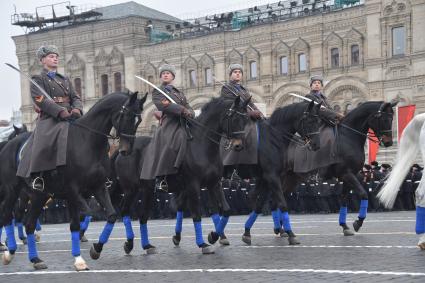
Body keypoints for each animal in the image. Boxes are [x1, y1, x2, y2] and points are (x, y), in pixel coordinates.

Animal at [1, 92, 147, 272]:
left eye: (138, 120)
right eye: (125, 115)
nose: (126, 150)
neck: (87, 142)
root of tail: (8, 145)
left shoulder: (98, 187)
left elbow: (111, 215)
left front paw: (95, 249)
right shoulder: (72, 191)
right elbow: (80, 221)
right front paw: (80, 258)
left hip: (39, 195)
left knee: (28, 222)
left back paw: (35, 259)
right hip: (13, 190)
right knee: (8, 215)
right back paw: (9, 252)